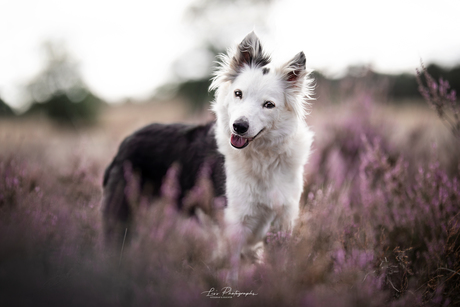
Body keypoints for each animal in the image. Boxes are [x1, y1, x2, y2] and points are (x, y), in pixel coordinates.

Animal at [102, 31, 314, 276]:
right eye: (238, 94)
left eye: (268, 105)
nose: (238, 126)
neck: (262, 157)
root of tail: (126, 141)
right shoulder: (234, 224)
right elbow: (232, 272)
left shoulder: (283, 221)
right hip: (121, 216)